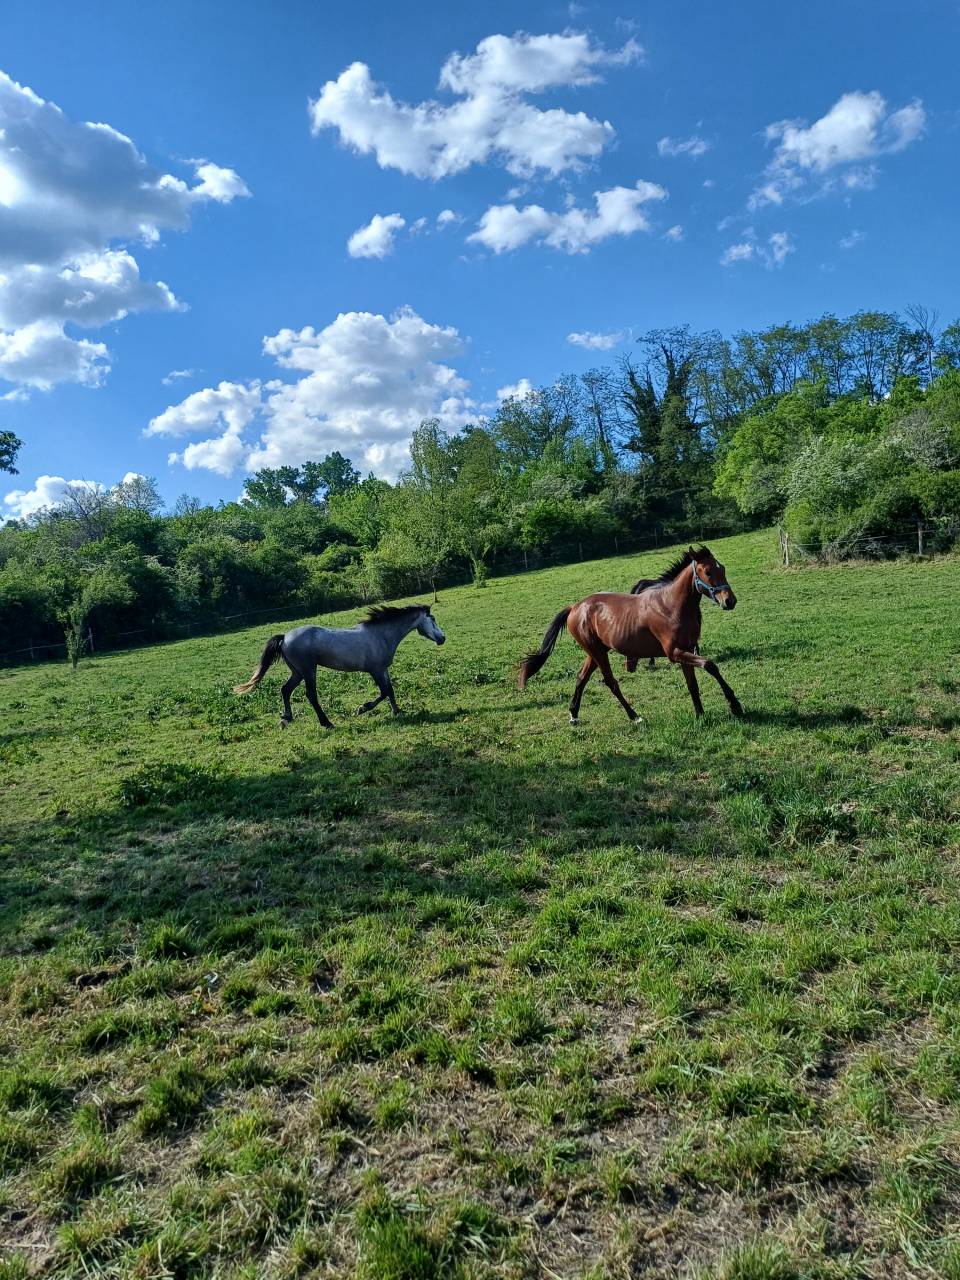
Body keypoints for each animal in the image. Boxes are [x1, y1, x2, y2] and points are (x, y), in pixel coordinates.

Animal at [234, 604, 446, 729]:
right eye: (433, 619)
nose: (443, 638)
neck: (380, 635)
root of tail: (285, 637)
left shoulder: (383, 669)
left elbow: (390, 690)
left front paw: (398, 712)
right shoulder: (375, 670)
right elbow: (384, 691)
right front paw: (362, 708)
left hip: (297, 672)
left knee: (285, 690)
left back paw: (286, 718)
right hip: (308, 670)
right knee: (310, 695)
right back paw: (326, 723)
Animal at [518, 546, 742, 724]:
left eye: (722, 568)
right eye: (707, 571)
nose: (729, 601)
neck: (672, 606)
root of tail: (574, 607)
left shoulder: (686, 650)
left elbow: (693, 685)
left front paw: (701, 715)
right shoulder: (675, 653)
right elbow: (710, 665)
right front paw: (734, 705)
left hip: (595, 652)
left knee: (581, 678)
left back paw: (574, 715)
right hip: (598, 653)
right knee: (611, 682)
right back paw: (634, 716)